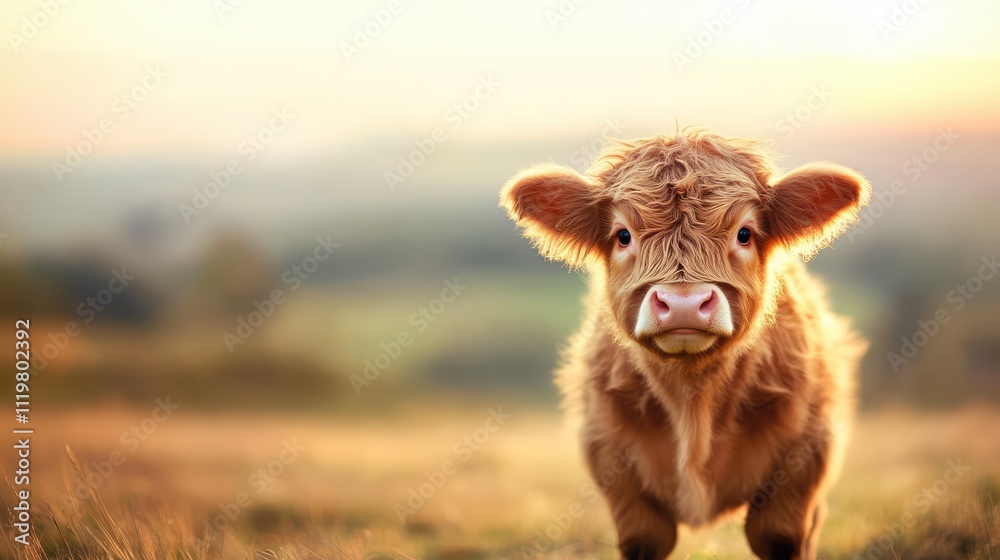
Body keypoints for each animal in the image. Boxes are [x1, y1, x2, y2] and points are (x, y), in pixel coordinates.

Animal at [500, 129, 869, 560]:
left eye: (744, 233)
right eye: (623, 236)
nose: (683, 305)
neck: (692, 401)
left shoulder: (805, 458)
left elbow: (780, 535)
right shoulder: (611, 459)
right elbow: (644, 537)